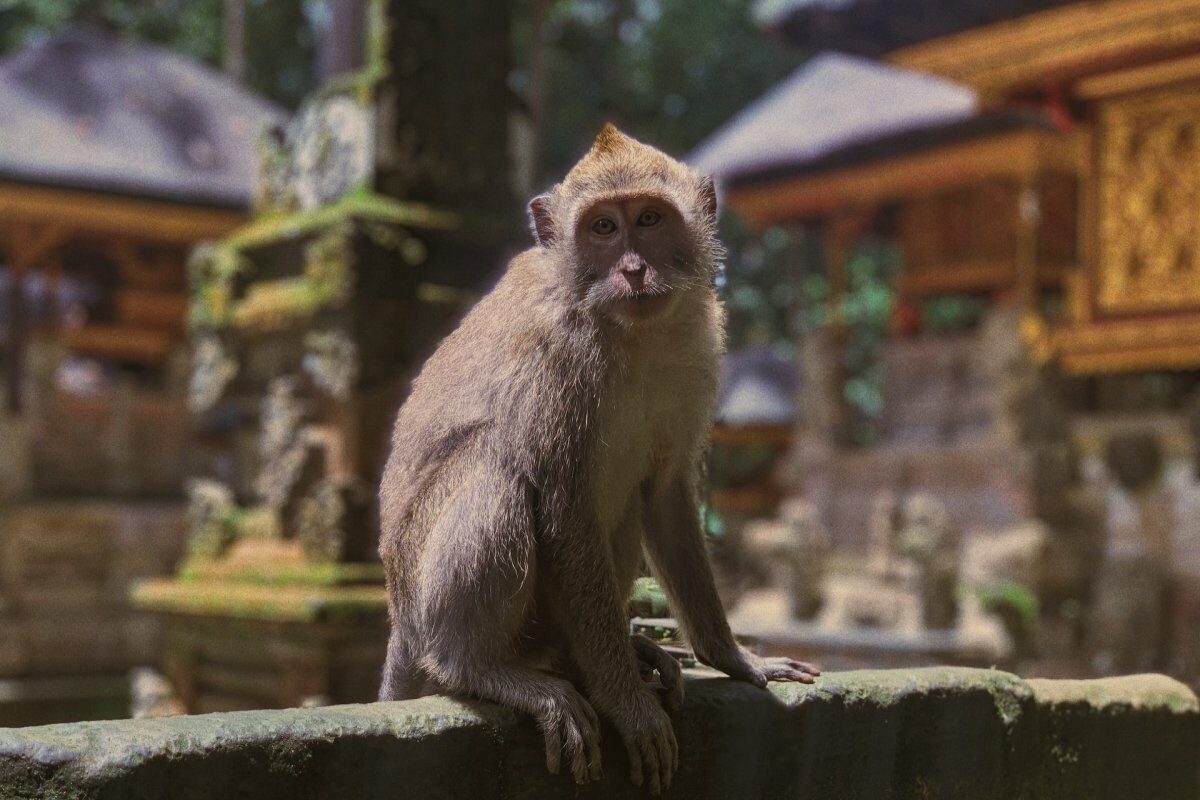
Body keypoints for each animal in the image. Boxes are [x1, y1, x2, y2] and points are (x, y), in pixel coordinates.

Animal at [379, 125, 820, 796]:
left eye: (649, 219)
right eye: (603, 229)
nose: (633, 270)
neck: (626, 330)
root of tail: (399, 614)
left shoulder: (698, 350)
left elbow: (665, 498)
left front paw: (735, 658)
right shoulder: (555, 356)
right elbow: (563, 508)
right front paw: (627, 704)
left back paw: (600, 657)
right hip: (422, 586)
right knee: (497, 465)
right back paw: (482, 669)